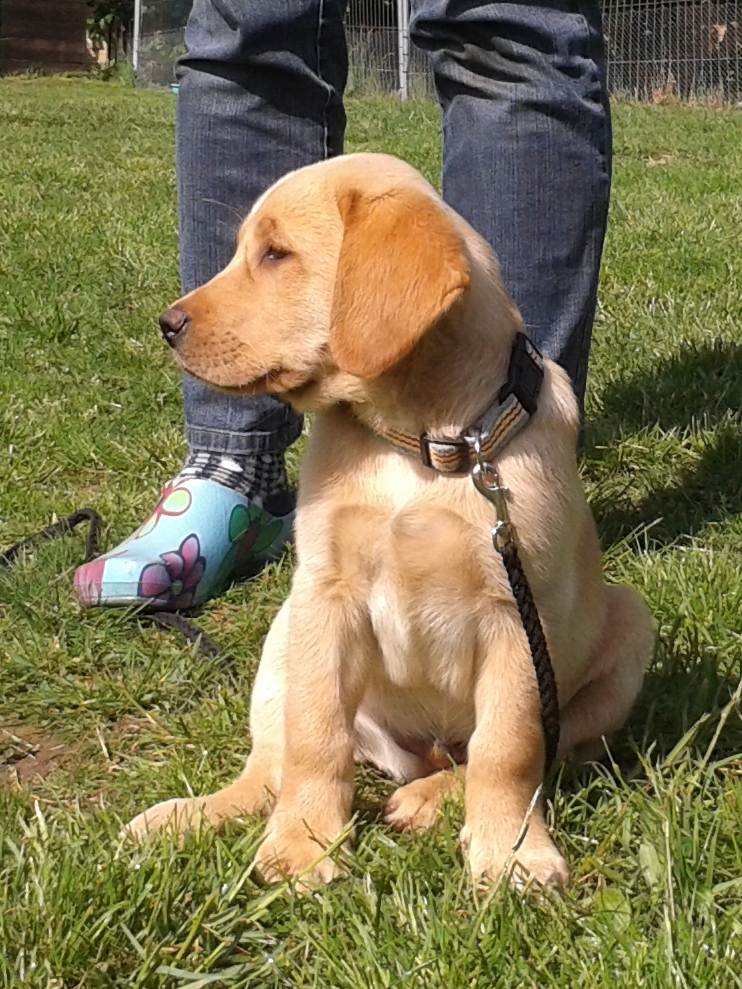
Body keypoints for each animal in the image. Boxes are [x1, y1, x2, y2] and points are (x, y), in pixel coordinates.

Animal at [129, 152, 656, 888]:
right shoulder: (325, 594)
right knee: (269, 766)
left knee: (523, 754)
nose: (167, 323)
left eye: (276, 253)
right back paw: (193, 814)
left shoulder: (519, 615)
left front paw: (512, 851)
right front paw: (305, 844)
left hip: (630, 626)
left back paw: (428, 798)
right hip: (284, 632)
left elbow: (509, 749)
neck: (424, 442)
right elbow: (316, 736)